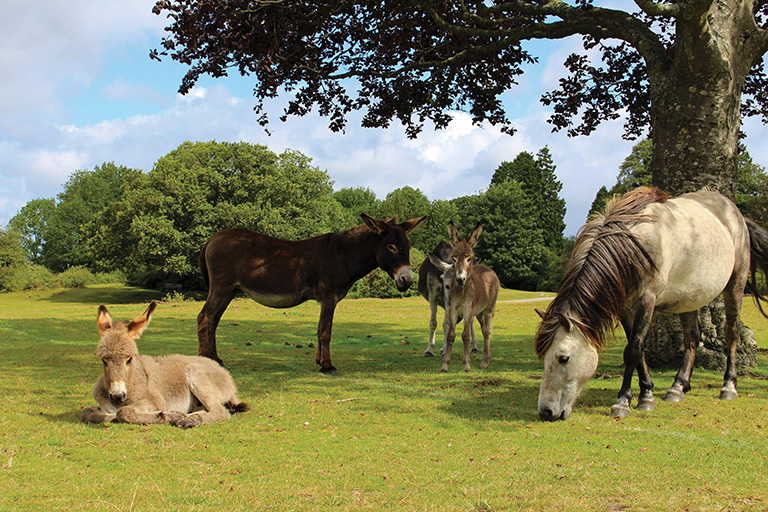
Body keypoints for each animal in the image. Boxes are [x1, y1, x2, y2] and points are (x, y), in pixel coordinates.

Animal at [81, 300, 249, 428]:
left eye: (129, 359)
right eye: (104, 361)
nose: (117, 396)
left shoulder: (154, 401)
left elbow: (124, 412)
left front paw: (166, 416)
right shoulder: (104, 405)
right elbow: (87, 413)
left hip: (197, 378)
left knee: (219, 411)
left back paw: (190, 419)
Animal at [198, 214, 426, 374]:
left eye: (408, 246)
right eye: (391, 247)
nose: (408, 280)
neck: (344, 256)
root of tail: (211, 239)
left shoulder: (326, 300)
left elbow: (319, 330)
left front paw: (319, 362)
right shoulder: (329, 298)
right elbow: (326, 331)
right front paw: (328, 366)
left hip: (230, 290)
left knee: (213, 320)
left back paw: (216, 360)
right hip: (221, 286)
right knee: (204, 317)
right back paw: (205, 360)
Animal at [426, 221, 498, 372]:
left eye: (469, 258)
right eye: (454, 258)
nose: (460, 279)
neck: (460, 291)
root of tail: (488, 269)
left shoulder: (467, 309)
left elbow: (465, 335)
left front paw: (466, 365)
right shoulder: (453, 309)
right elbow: (451, 335)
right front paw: (445, 365)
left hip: (489, 309)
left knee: (488, 331)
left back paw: (484, 362)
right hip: (479, 311)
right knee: (483, 329)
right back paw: (486, 359)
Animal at [536, 187, 768, 420]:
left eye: (563, 358)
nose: (546, 412)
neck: (634, 246)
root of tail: (736, 214)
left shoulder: (646, 301)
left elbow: (632, 351)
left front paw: (623, 402)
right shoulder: (626, 309)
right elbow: (639, 351)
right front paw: (646, 394)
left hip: (735, 285)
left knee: (731, 333)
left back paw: (728, 386)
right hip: (690, 298)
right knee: (692, 338)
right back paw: (678, 387)